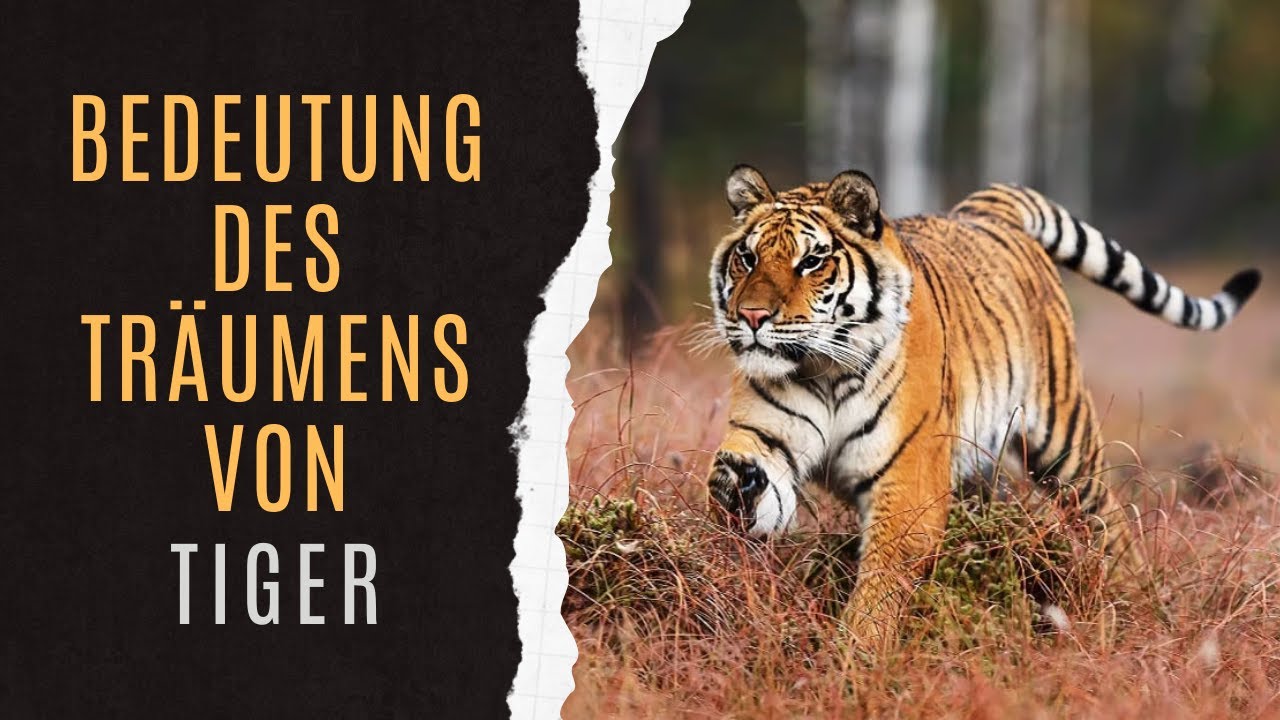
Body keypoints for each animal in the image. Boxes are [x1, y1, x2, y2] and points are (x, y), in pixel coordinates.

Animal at [704, 164, 1261, 645]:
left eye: (811, 261)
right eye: (748, 258)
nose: (751, 316)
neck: (822, 370)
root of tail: (984, 208)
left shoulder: (909, 486)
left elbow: (879, 588)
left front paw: (854, 659)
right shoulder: (768, 435)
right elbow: (744, 481)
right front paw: (739, 487)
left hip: (1066, 444)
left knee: (1109, 524)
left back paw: (1129, 604)